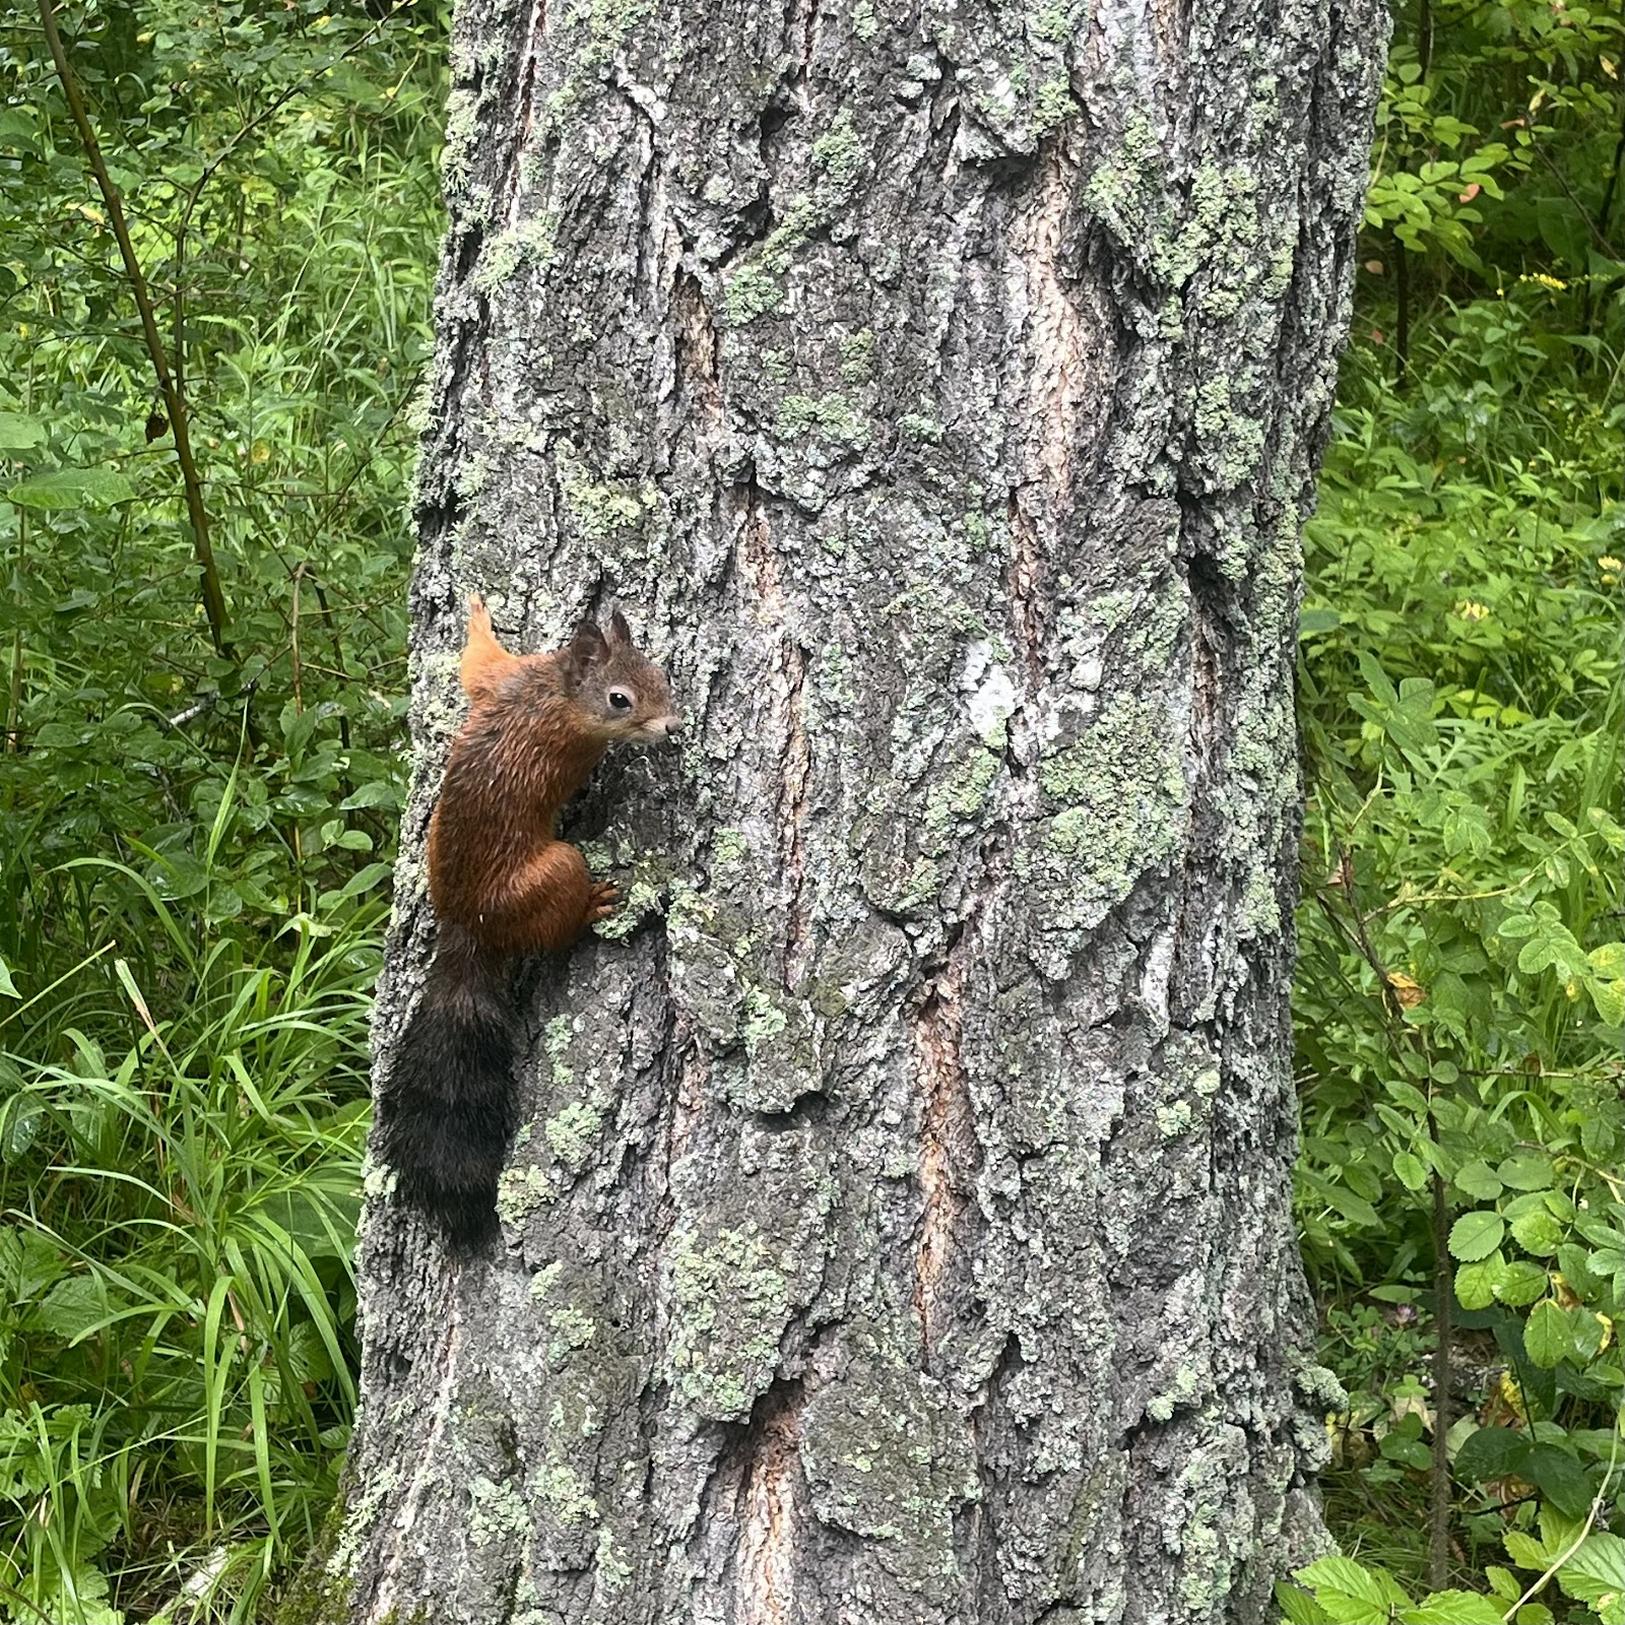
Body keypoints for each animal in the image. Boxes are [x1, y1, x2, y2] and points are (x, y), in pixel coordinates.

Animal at [377, 598, 682, 1241]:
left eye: (661, 674)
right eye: (620, 699)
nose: (672, 727)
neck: (554, 691)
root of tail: (469, 925)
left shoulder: (502, 679)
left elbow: (476, 664)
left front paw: (476, 613)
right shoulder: (568, 743)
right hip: (555, 871)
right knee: (555, 926)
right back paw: (592, 908)